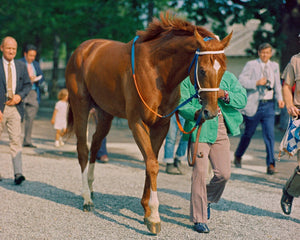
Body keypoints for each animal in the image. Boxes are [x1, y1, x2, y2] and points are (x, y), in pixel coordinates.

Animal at [65, 12, 232, 233]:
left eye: (223, 70)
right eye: (203, 70)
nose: (210, 112)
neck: (157, 70)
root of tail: (83, 49)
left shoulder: (161, 125)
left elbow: (149, 161)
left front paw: (146, 211)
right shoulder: (137, 123)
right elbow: (152, 164)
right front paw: (154, 216)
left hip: (105, 114)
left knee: (95, 145)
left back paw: (91, 188)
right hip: (81, 106)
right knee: (83, 149)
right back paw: (86, 198)